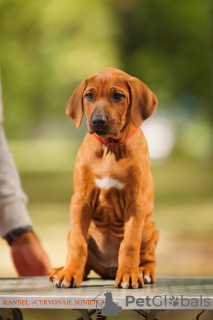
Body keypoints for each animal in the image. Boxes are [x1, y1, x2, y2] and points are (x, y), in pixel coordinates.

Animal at [48, 69, 158, 288]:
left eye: (118, 96)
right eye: (89, 96)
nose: (98, 120)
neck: (110, 148)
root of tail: (108, 269)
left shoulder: (136, 203)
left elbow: (129, 243)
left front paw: (129, 274)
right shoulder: (80, 200)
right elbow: (78, 243)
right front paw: (69, 273)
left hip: (151, 229)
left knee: (148, 256)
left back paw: (143, 271)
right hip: (73, 231)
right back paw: (63, 270)